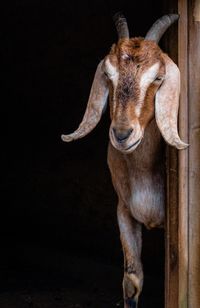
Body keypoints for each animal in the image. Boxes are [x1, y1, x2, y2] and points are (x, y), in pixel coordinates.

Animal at [61, 13, 188, 306]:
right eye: (109, 74)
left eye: (158, 77)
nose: (121, 134)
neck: (143, 173)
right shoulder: (124, 210)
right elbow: (131, 280)